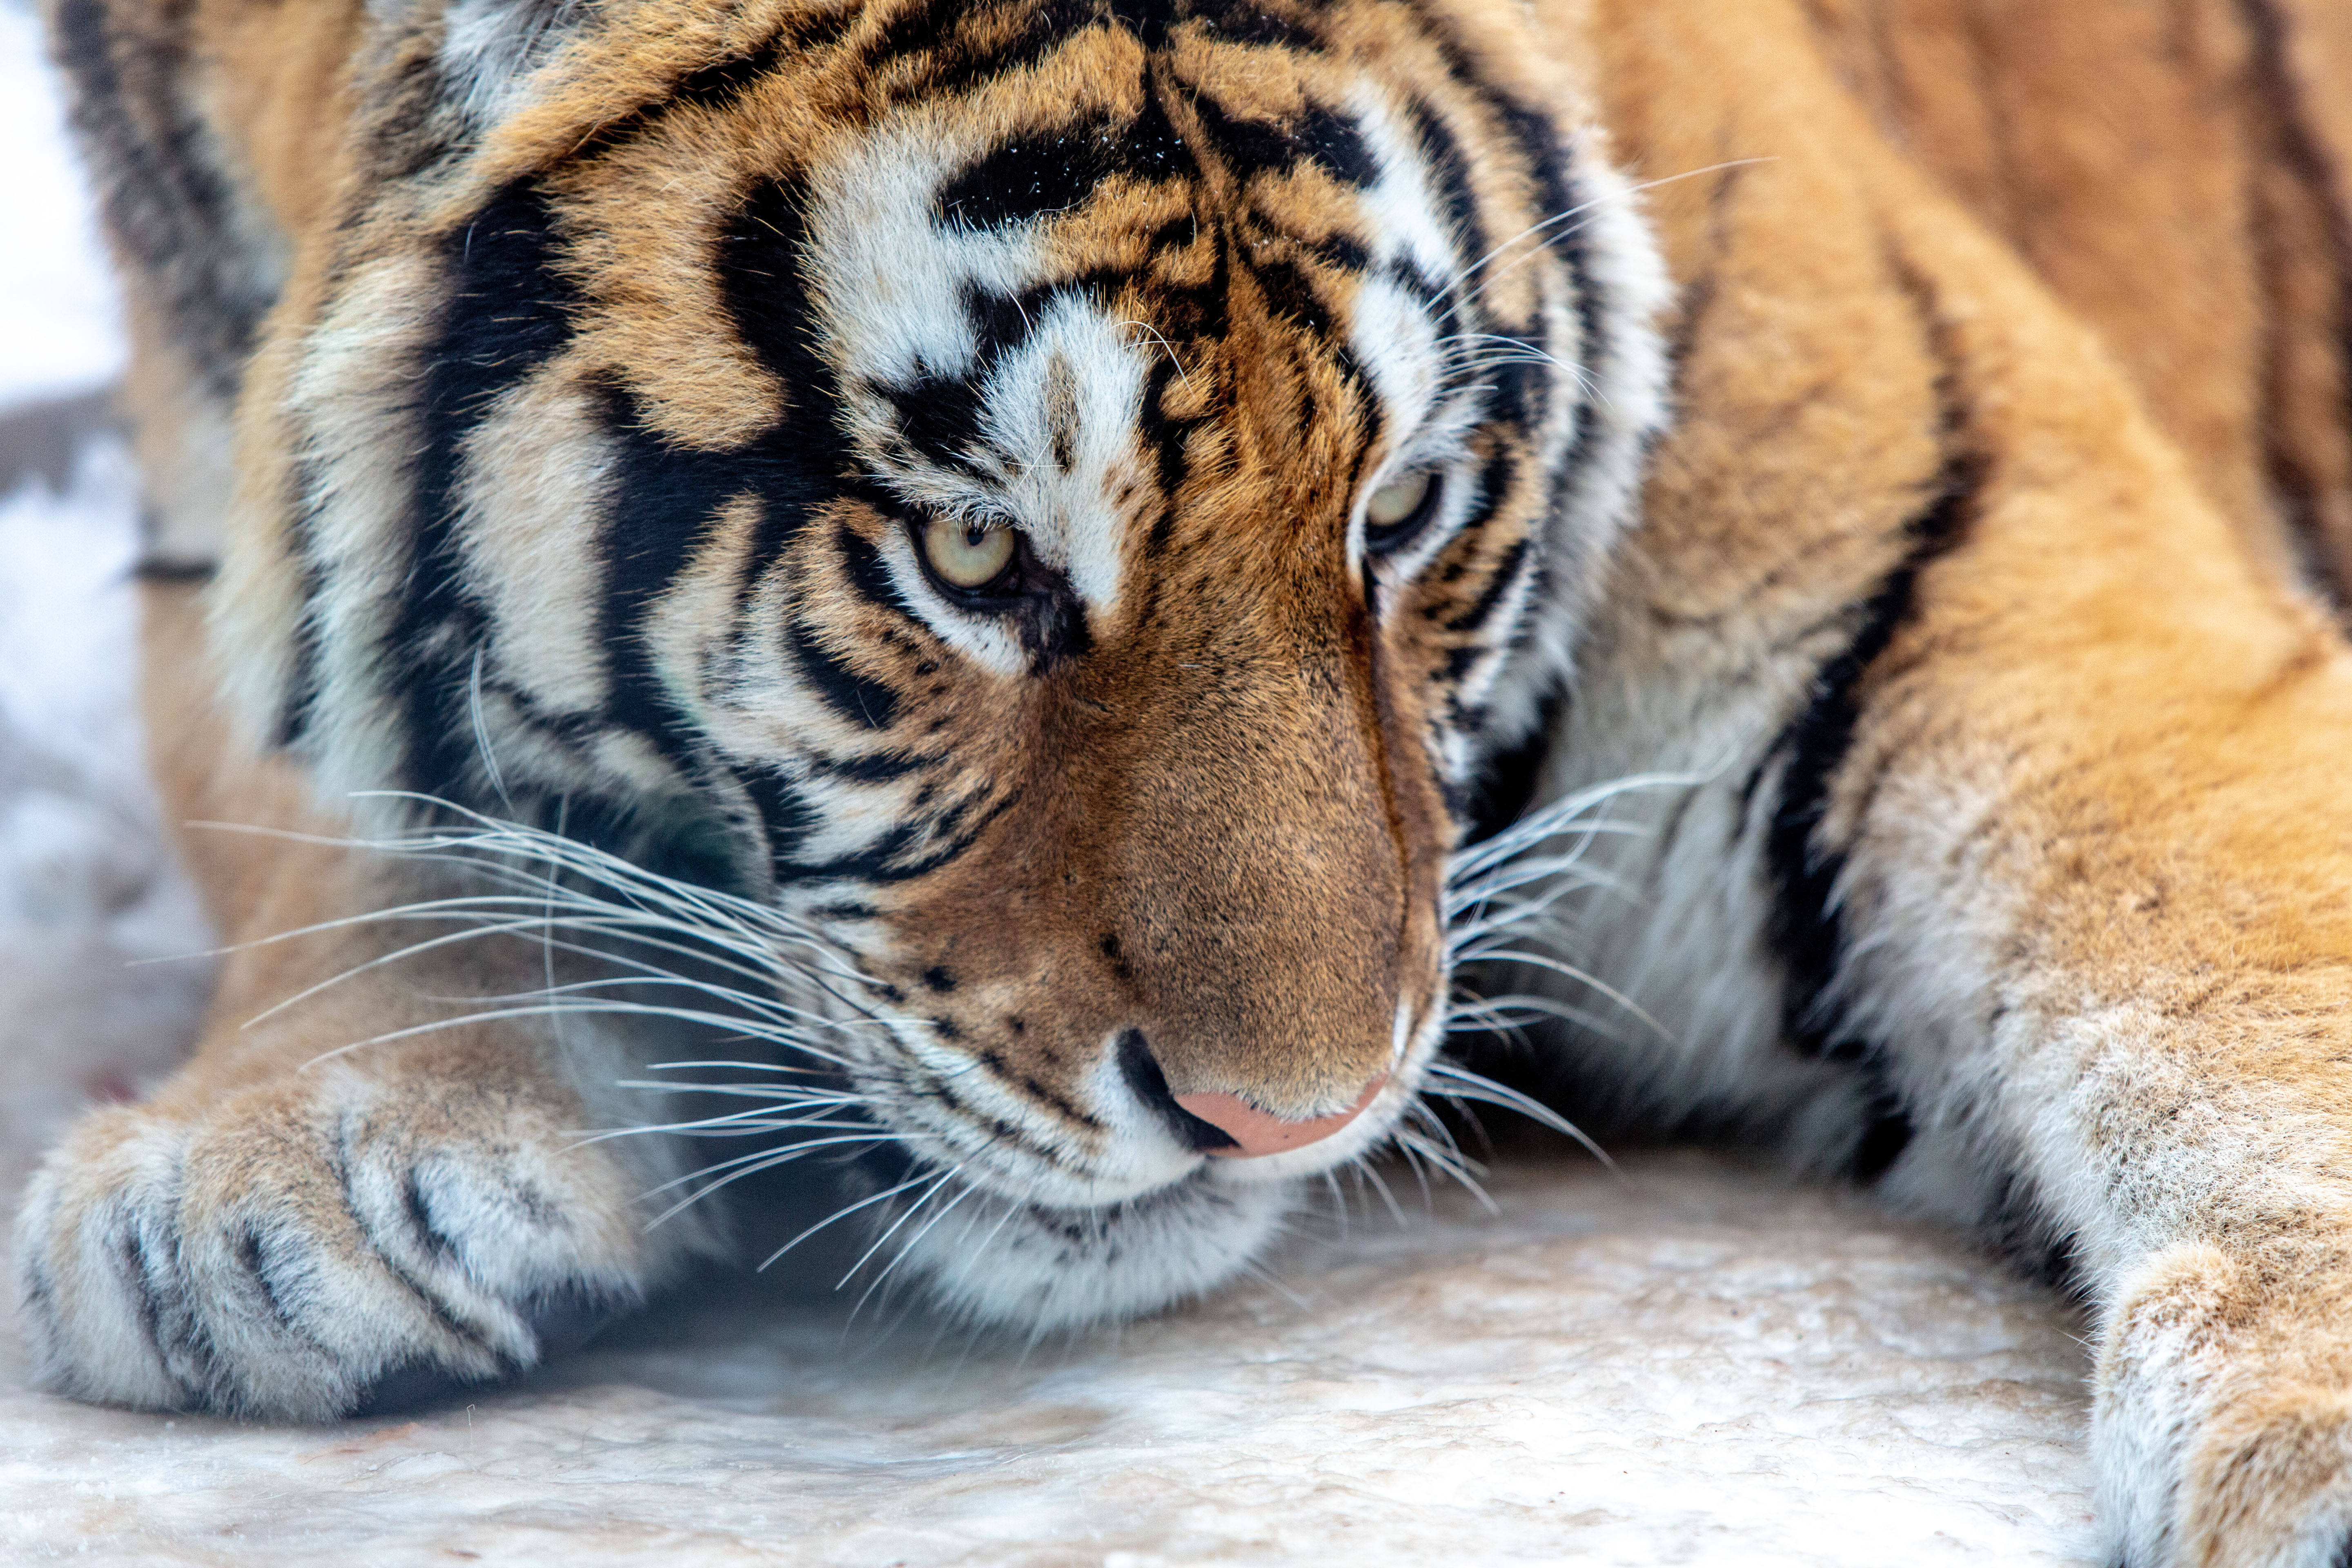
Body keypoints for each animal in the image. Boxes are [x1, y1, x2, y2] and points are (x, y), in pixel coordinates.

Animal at [13, 0, 2352, 1561]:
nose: (1282, 1122)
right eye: (971, 551)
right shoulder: (202, 455)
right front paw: (271, 1176)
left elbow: (2221, 944)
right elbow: (323, 792)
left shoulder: (1997, 562)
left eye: (1403, 508)